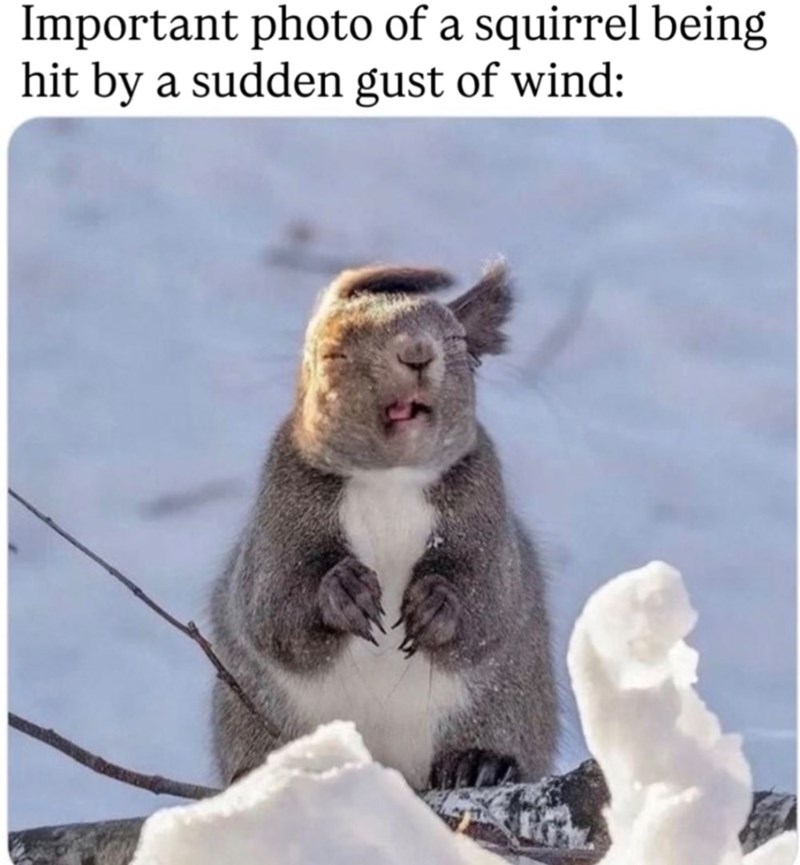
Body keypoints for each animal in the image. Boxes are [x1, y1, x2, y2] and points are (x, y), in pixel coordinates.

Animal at [209, 261, 558, 790]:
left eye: (456, 340)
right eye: (332, 352)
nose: (416, 352)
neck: (390, 480)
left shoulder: (485, 511)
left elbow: (490, 601)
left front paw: (438, 603)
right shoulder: (278, 512)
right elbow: (271, 609)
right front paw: (342, 591)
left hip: (507, 707)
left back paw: (479, 762)